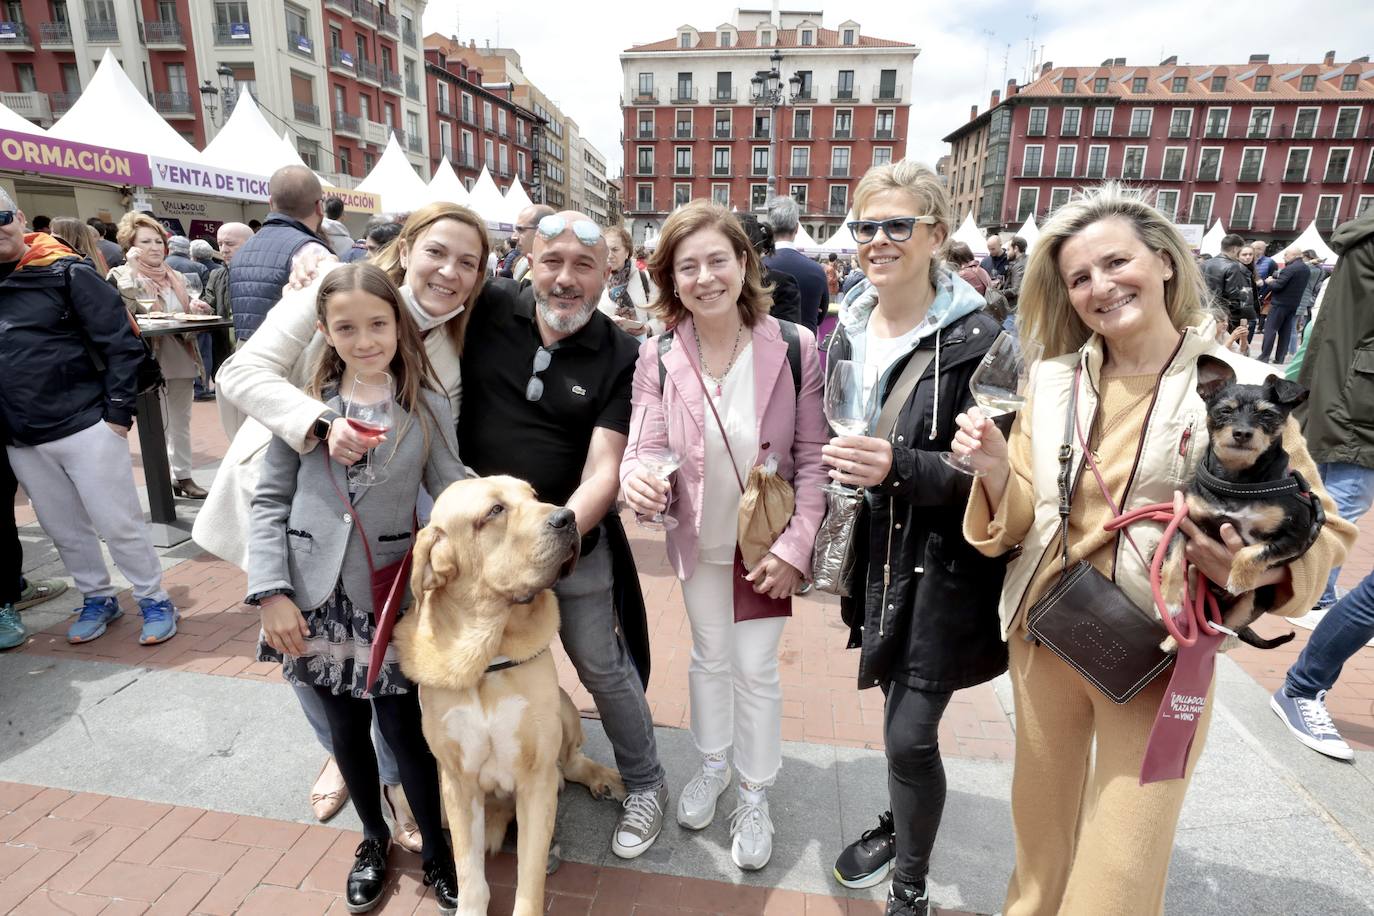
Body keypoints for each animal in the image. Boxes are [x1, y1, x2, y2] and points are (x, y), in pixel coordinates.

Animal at [390, 477, 621, 911]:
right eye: (495, 511)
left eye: (533, 496)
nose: (568, 517)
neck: (487, 657)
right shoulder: (458, 782)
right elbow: (469, 872)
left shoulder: (536, 778)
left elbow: (528, 877)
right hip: (409, 793)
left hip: (564, 710)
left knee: (570, 763)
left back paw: (604, 779)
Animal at [1165, 357, 1324, 650]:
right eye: (1224, 411)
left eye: (1268, 415)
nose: (1241, 433)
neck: (1236, 482)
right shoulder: (1183, 520)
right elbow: (1172, 561)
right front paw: (1169, 601)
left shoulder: (1296, 537)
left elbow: (1255, 551)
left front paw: (1238, 579)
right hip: (1197, 582)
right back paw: (1173, 638)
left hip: (1248, 605)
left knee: (1219, 631)